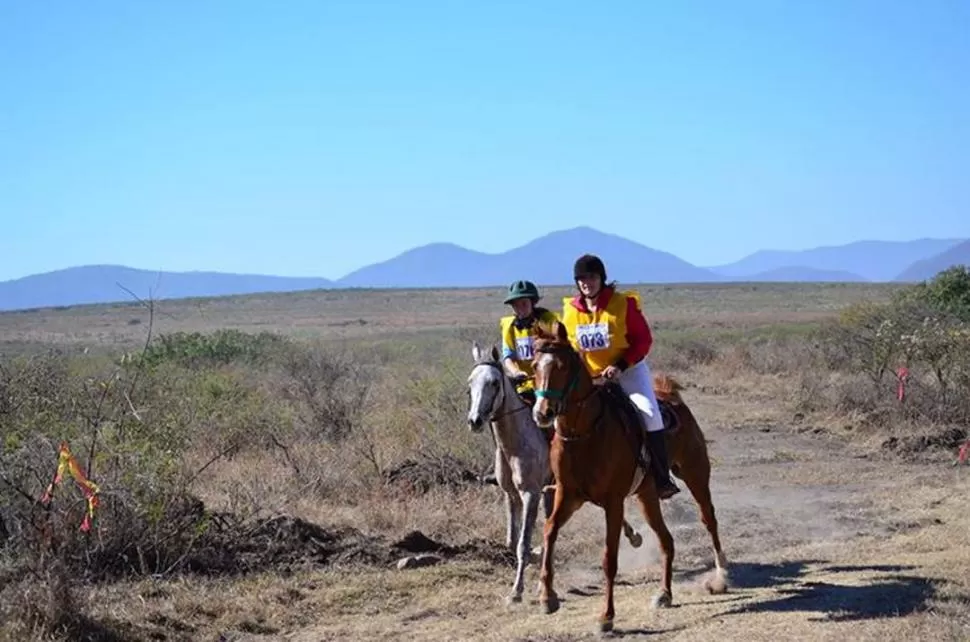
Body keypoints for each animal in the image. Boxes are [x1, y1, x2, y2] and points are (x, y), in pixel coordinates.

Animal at [466, 342, 640, 604]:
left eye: (494, 383)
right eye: (470, 384)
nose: (475, 420)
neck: (514, 443)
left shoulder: (531, 493)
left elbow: (522, 544)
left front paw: (517, 591)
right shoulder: (511, 495)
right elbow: (512, 541)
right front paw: (538, 565)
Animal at [528, 320, 728, 632]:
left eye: (561, 366)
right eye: (535, 365)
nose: (543, 413)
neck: (584, 433)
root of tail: (673, 397)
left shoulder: (613, 503)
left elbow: (609, 558)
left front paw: (606, 616)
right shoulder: (567, 495)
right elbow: (549, 531)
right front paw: (547, 598)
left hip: (696, 476)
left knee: (709, 520)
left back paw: (720, 577)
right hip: (647, 497)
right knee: (667, 541)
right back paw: (664, 594)